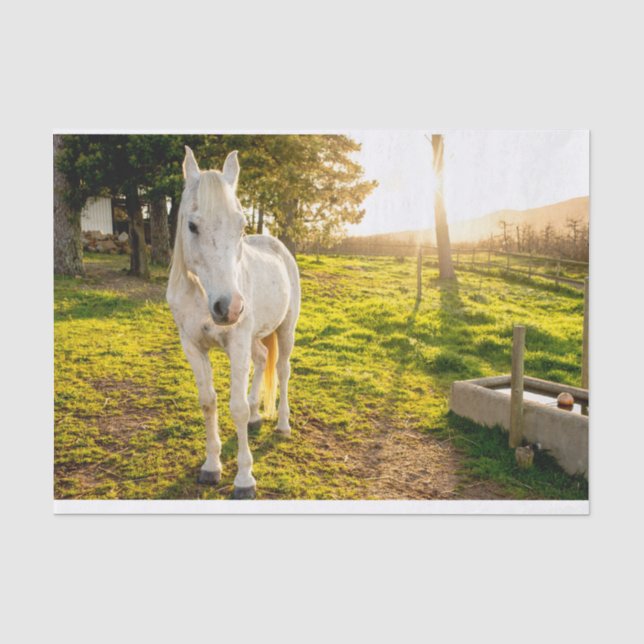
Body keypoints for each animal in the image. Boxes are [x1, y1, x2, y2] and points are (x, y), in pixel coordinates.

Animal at [166, 147, 301, 499]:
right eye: (192, 225)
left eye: (240, 226)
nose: (229, 308)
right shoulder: (193, 346)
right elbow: (208, 402)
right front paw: (211, 466)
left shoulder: (237, 343)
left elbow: (235, 407)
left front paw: (244, 479)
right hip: (254, 337)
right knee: (262, 359)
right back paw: (256, 417)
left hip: (286, 329)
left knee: (282, 370)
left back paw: (282, 425)